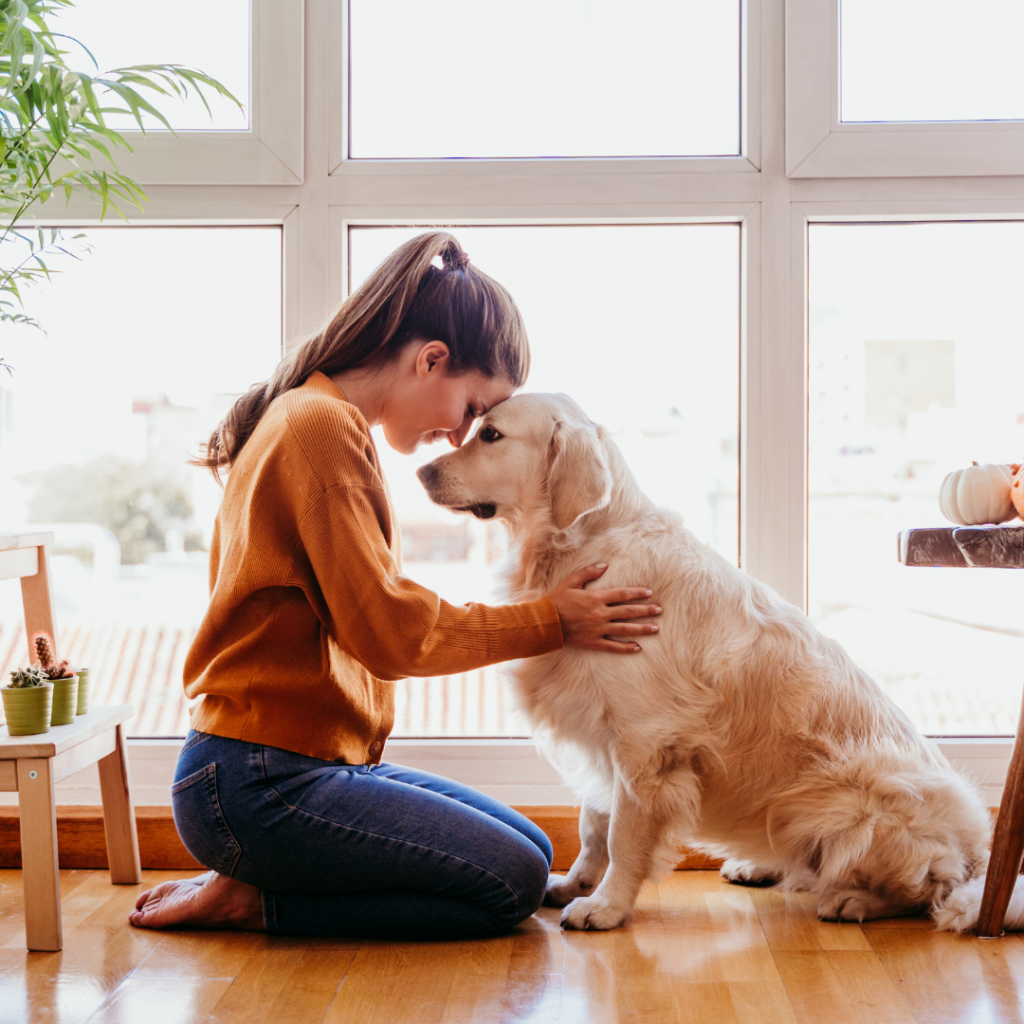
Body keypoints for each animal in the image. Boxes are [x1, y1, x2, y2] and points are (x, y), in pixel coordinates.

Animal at [415, 393, 1007, 937]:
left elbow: (622, 835)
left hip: (854, 802)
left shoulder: (644, 741)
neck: (584, 546)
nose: (421, 470)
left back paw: (853, 900)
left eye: (491, 435)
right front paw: (575, 884)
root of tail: (979, 848)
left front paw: (605, 906)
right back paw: (758, 866)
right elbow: (591, 825)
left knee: (926, 888)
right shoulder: (602, 735)